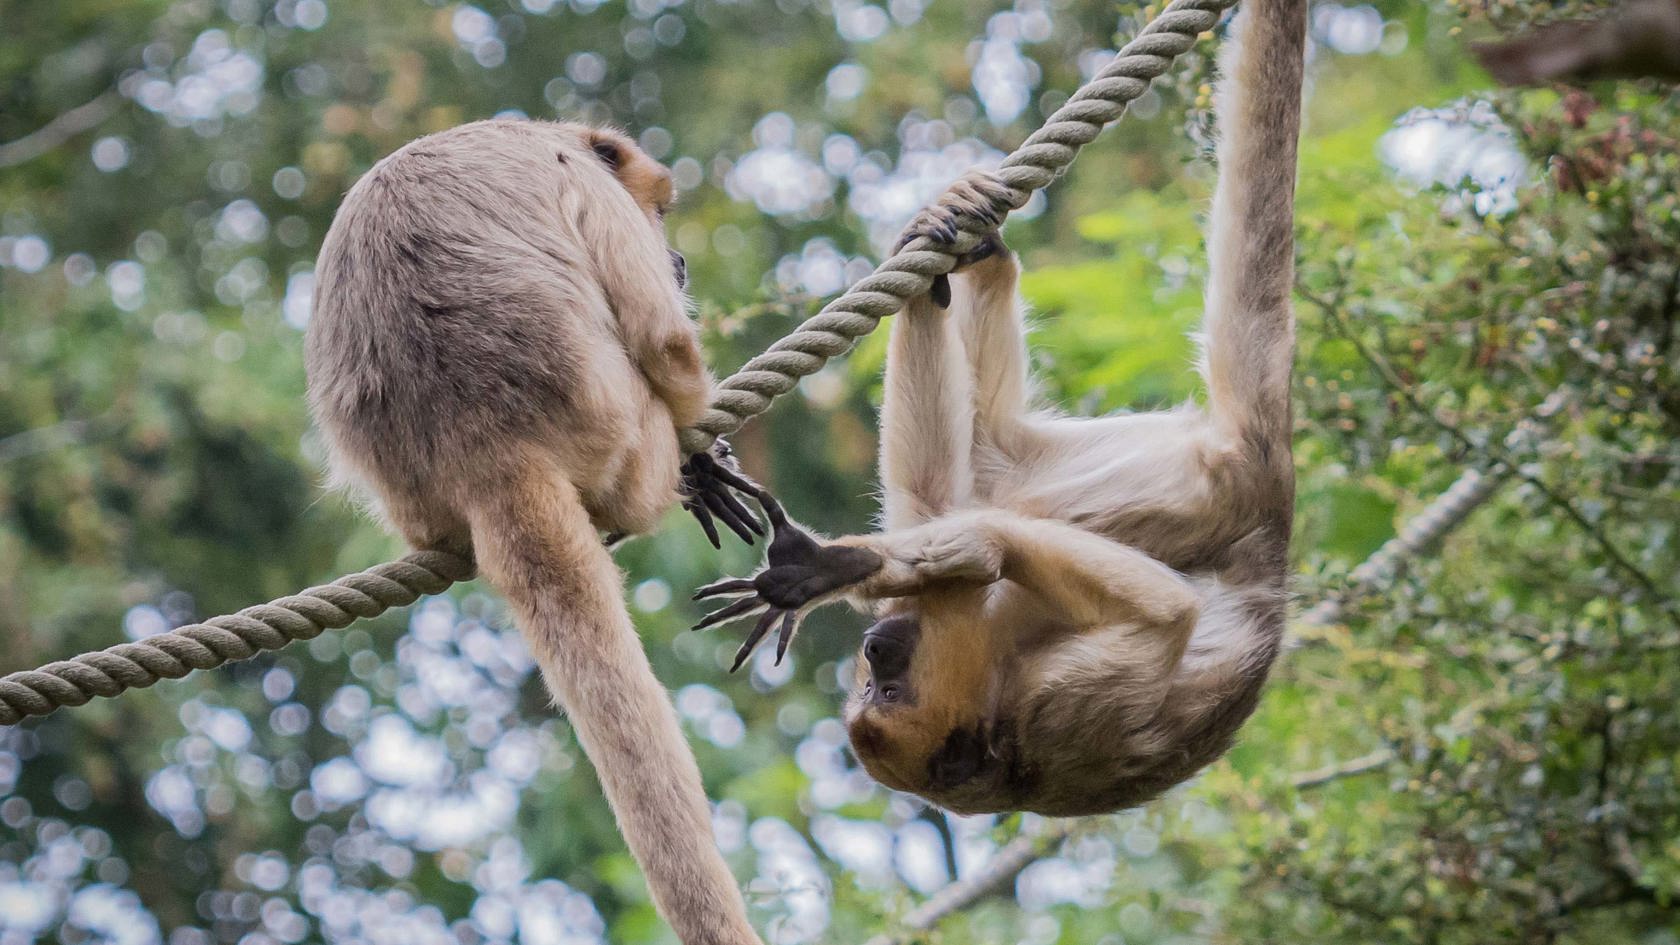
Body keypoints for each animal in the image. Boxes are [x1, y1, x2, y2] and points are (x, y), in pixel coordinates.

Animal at [304, 119, 764, 945]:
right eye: (659, 213)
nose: (677, 258)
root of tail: (488, 452)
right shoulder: (582, 176)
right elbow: (665, 341)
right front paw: (703, 450)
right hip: (618, 426)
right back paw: (679, 470)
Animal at [695, 0, 1307, 817]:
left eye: (888, 685)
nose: (876, 646)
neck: (1001, 727)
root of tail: (1269, 494)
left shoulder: (1061, 704)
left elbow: (1159, 611)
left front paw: (835, 566)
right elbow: (944, 512)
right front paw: (856, 564)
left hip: (1173, 485)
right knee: (983, 453)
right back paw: (969, 261)